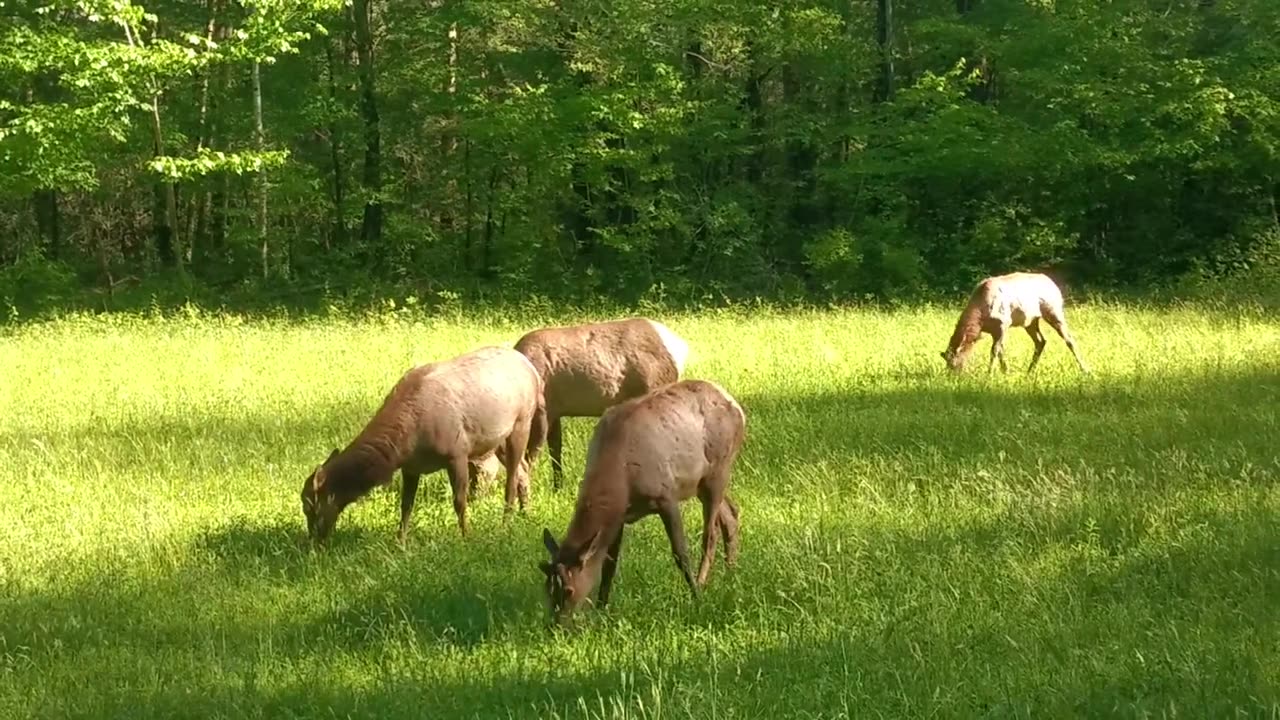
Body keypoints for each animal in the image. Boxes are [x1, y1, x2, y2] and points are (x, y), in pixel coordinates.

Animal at [302, 345, 547, 540]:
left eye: (309, 506)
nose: (313, 541)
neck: (404, 447)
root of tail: (534, 373)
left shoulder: (457, 452)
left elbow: (459, 501)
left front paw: (466, 536)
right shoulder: (411, 467)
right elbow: (406, 505)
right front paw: (400, 541)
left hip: (522, 421)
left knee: (513, 476)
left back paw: (506, 523)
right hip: (498, 439)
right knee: (523, 469)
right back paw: (527, 513)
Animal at [512, 317, 691, 489]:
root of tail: (682, 349)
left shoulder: (543, 412)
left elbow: (528, 461)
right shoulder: (555, 412)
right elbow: (555, 453)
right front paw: (557, 489)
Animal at [537, 379, 747, 625]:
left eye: (569, 590)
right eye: (547, 588)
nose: (556, 625)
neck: (621, 483)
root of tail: (739, 410)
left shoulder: (666, 495)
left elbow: (680, 553)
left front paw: (695, 595)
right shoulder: (620, 517)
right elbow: (609, 563)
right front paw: (602, 609)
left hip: (718, 470)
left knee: (710, 533)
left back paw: (704, 582)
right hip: (703, 483)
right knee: (730, 513)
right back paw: (730, 573)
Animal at [942, 271, 1090, 371]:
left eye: (954, 364)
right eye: (946, 363)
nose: (951, 377)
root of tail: (1053, 283)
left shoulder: (1003, 324)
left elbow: (995, 351)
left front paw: (990, 373)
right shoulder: (994, 331)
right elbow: (1001, 350)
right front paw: (1005, 371)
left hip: (1054, 312)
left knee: (1069, 339)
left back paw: (1085, 369)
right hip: (1030, 322)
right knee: (1041, 341)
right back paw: (1030, 370)